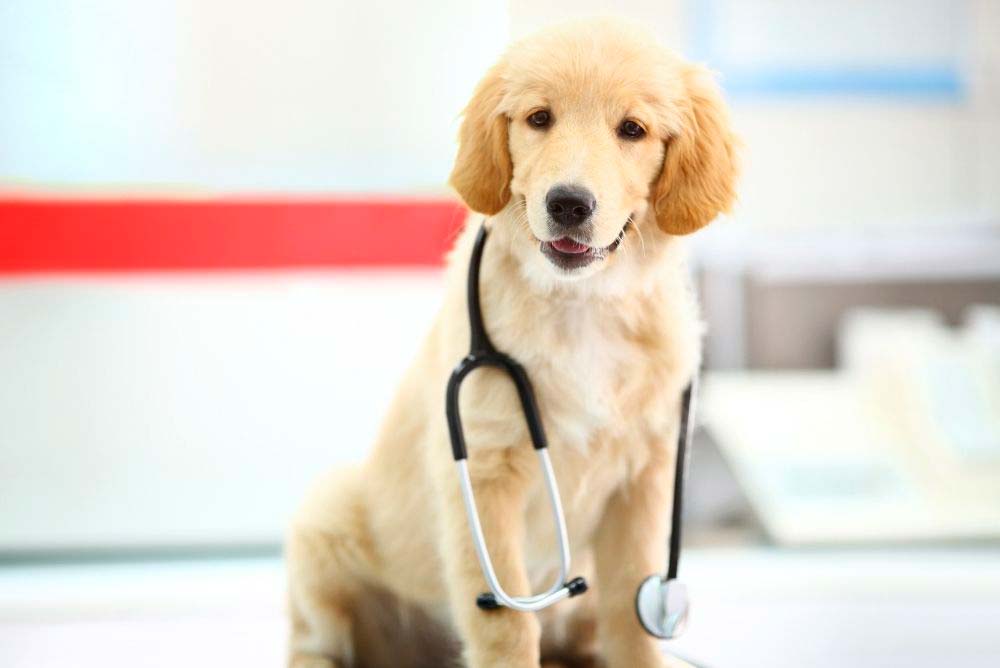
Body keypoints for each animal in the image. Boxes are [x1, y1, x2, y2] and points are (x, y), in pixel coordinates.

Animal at [286, 15, 740, 668]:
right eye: (539, 118)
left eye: (632, 129)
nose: (569, 203)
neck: (580, 305)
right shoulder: (483, 474)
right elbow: (505, 627)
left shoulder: (644, 482)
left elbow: (634, 621)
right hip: (324, 519)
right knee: (313, 641)